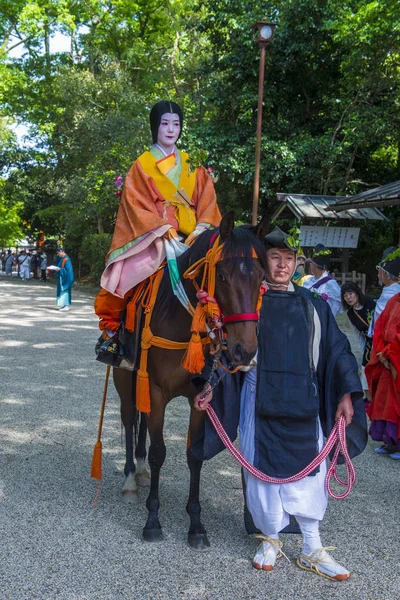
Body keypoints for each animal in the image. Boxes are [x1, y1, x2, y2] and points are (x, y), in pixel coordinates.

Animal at [112, 213, 268, 552]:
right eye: (222, 275)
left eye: (261, 277)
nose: (245, 350)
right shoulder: (156, 390)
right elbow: (159, 452)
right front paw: (153, 520)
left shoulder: (200, 394)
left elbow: (194, 456)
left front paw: (196, 525)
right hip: (125, 376)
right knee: (130, 420)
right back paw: (130, 479)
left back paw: (141, 472)